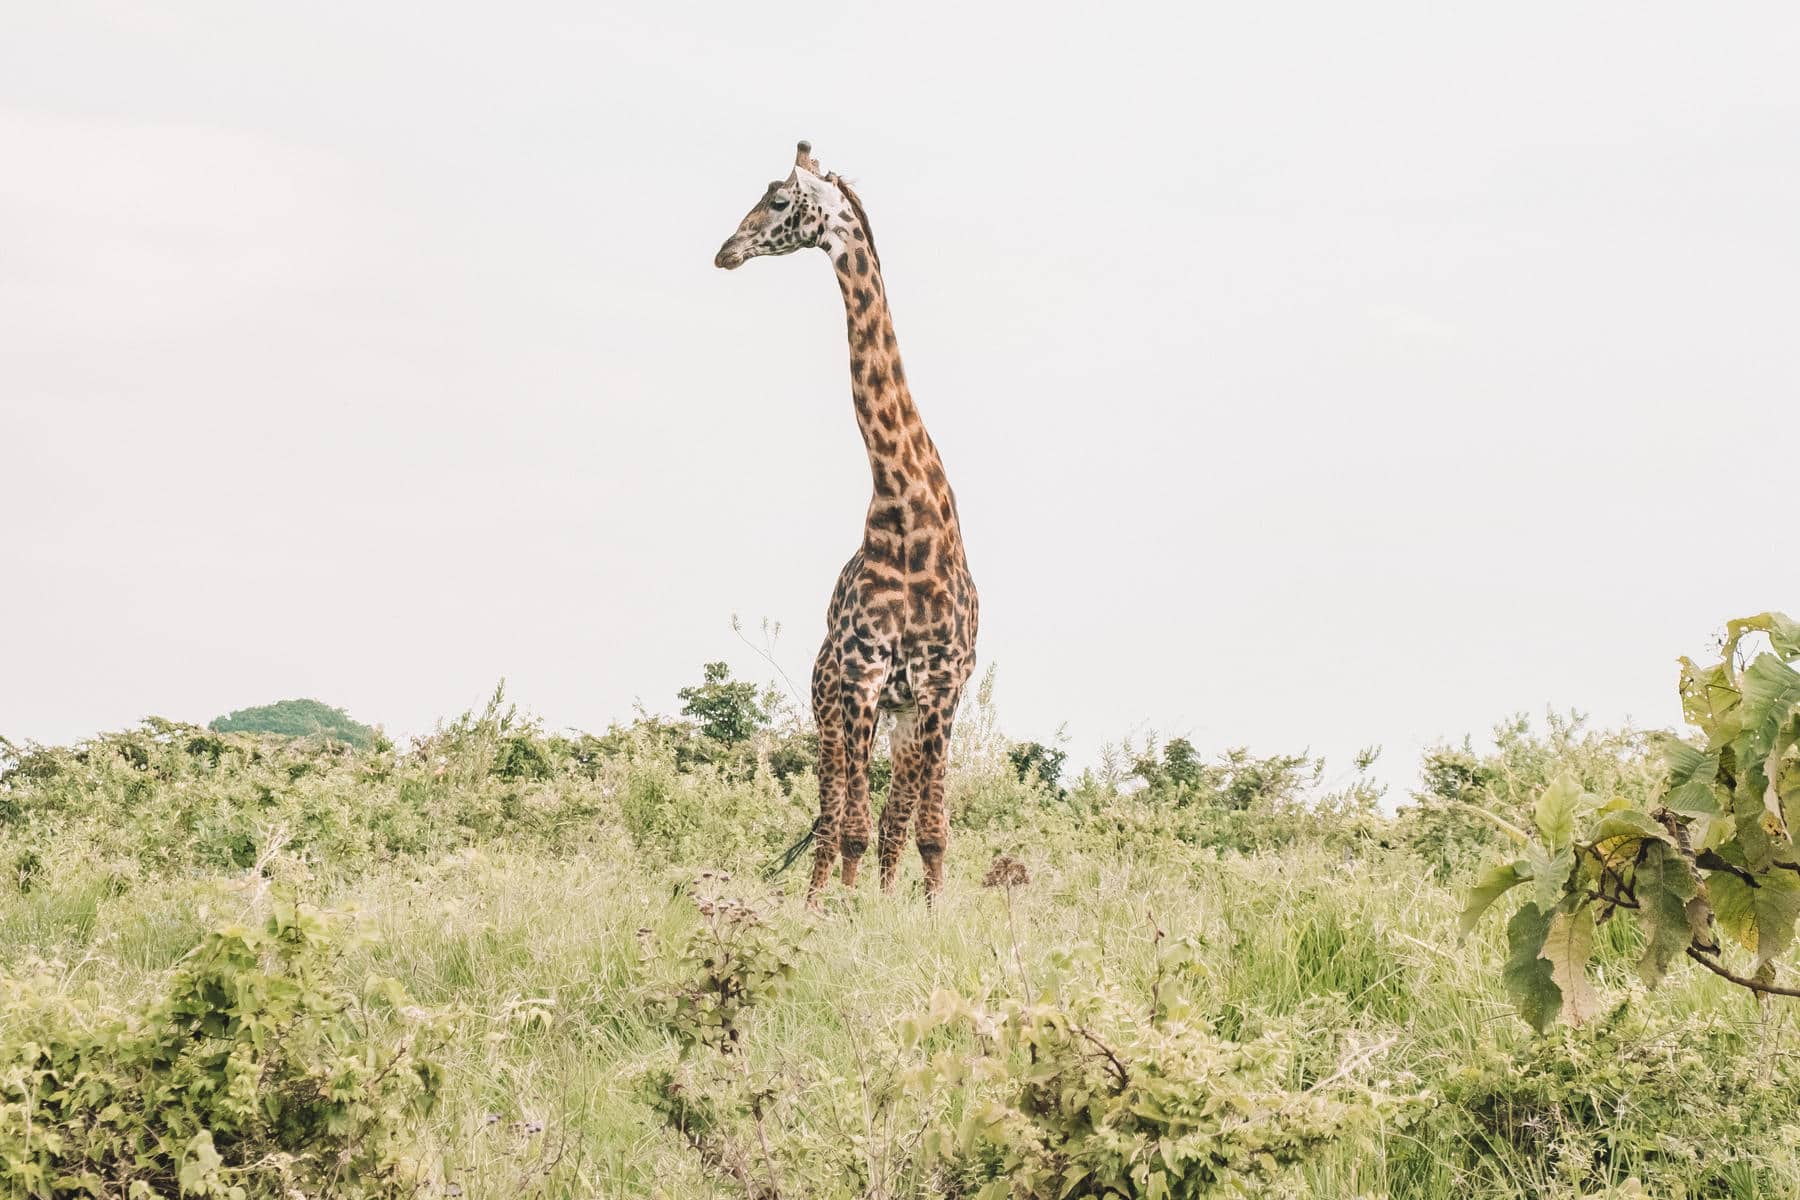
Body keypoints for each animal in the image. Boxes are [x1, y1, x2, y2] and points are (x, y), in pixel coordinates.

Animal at [715, 141, 978, 902]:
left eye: (777, 200)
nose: (725, 251)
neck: (907, 512)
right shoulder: (859, 675)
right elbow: (856, 827)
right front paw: (841, 916)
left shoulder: (939, 687)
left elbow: (925, 830)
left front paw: (919, 913)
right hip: (828, 701)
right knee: (832, 816)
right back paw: (817, 899)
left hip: (900, 713)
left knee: (883, 817)